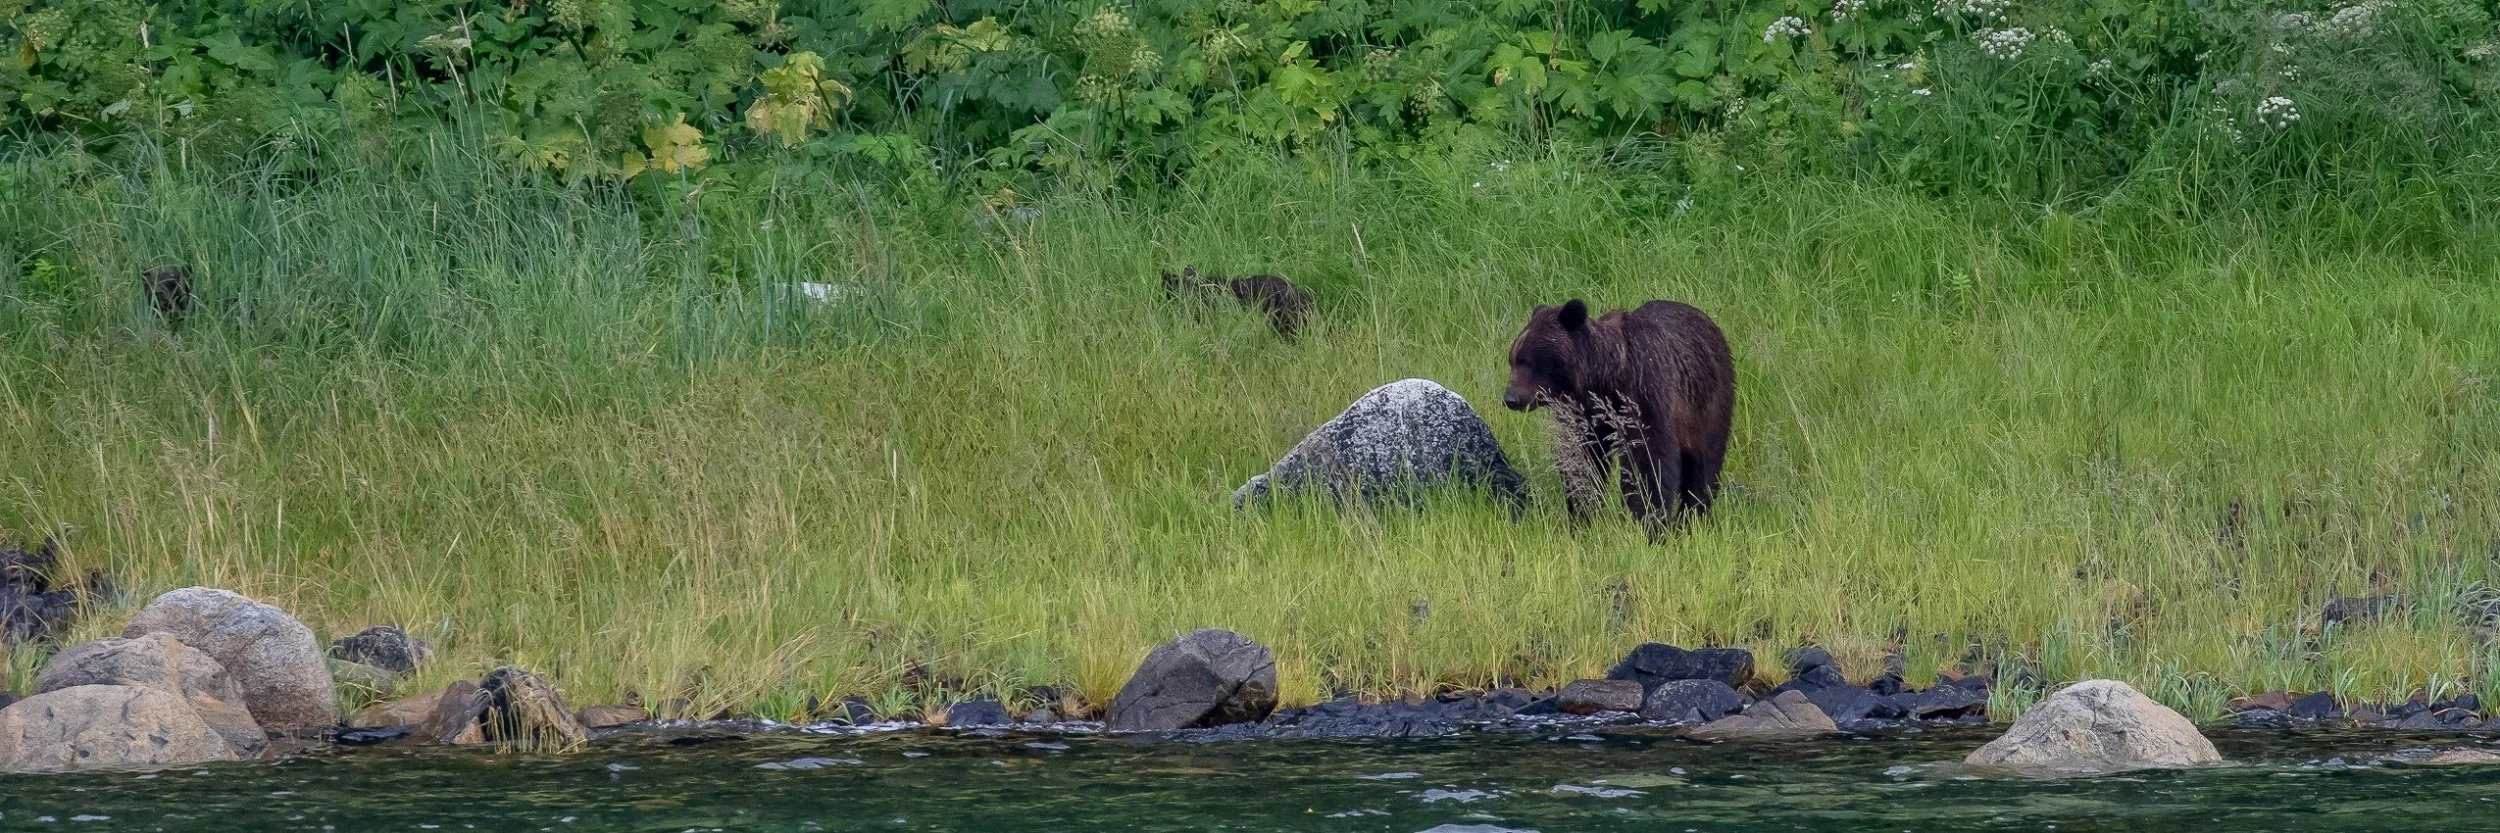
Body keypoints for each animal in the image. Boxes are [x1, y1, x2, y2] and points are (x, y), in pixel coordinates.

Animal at [1502, 298, 1735, 530]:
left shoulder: (1645, 395)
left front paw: (1649, 520)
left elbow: (1648, 460)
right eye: (1512, 359)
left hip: (1707, 404)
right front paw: (1582, 513)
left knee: (1704, 464)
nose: (1510, 398)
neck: (1606, 381)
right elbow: (1583, 461)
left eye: (1526, 361)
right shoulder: (1586, 412)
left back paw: (1692, 516)